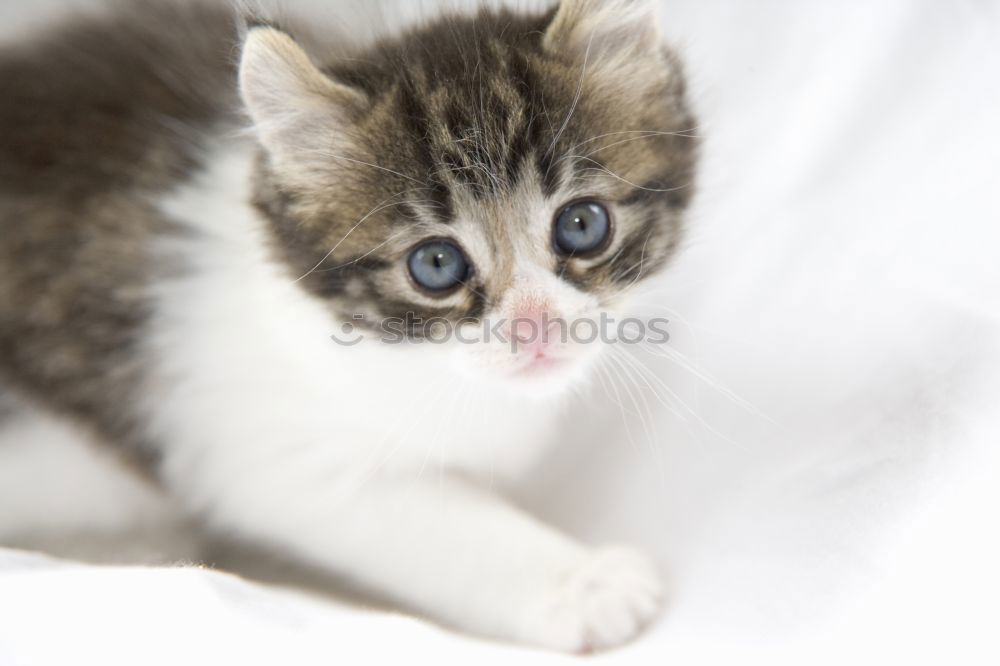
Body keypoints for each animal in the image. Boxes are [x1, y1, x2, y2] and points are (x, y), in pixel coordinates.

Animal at [0, 0, 700, 652]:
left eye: (582, 225)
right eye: (436, 264)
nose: (537, 327)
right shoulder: (266, 452)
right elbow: (441, 525)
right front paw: (586, 583)